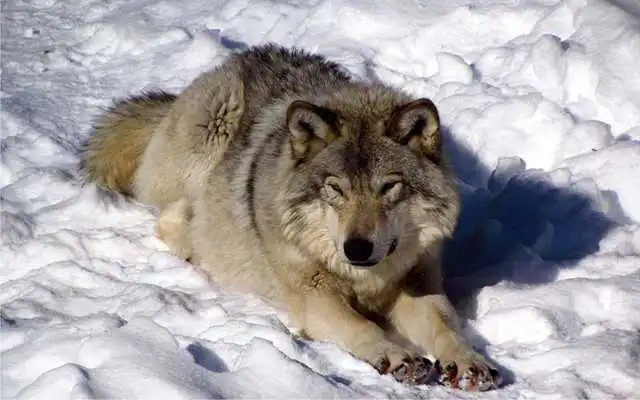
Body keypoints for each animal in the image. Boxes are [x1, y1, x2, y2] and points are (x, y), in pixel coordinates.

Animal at [83, 44, 500, 391]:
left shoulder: (418, 283)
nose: (357, 248)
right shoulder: (315, 296)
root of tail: (238, 59)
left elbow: (446, 327)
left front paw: (469, 362)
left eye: (389, 187)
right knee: (171, 220)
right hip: (213, 131)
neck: (364, 280)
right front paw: (396, 355)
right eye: (336, 189)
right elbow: (361, 326)